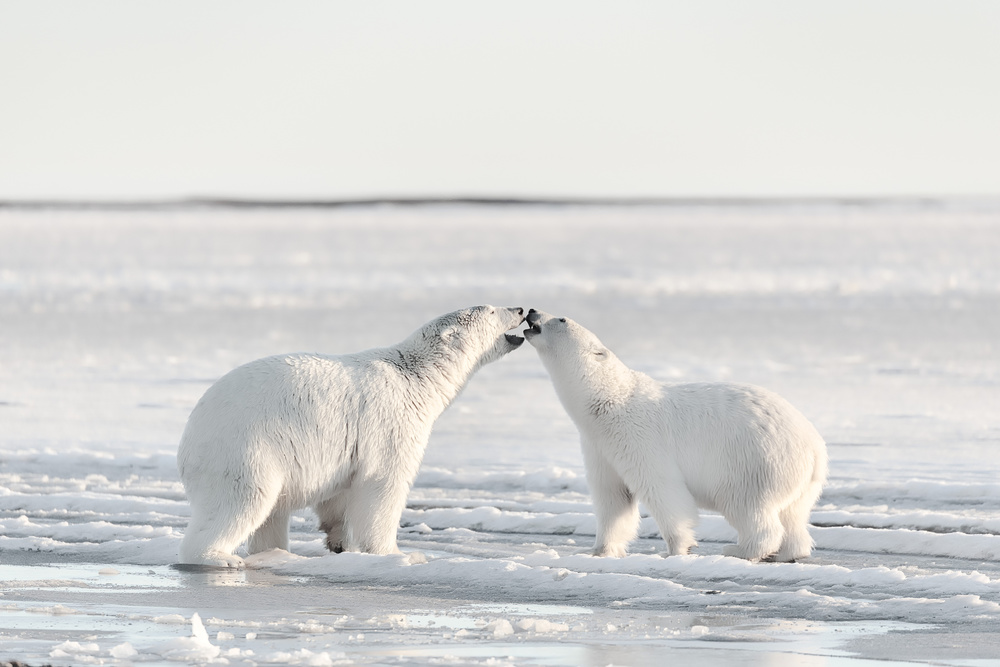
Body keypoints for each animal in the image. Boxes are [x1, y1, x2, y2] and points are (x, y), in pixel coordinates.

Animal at [177, 305, 526, 568]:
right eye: (491, 309)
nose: (521, 309)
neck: (416, 376)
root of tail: (188, 440)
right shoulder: (392, 421)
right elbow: (384, 485)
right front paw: (397, 553)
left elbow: (339, 495)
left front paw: (340, 542)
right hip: (246, 450)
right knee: (242, 501)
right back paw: (218, 556)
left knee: (271, 513)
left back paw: (275, 552)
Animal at [523, 309, 828, 562]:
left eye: (562, 318)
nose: (532, 311)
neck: (609, 402)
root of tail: (816, 448)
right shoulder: (599, 446)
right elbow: (612, 497)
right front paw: (600, 550)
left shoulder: (639, 438)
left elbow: (663, 491)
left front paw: (677, 549)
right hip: (800, 480)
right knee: (794, 515)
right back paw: (788, 552)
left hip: (756, 462)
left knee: (750, 507)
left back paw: (740, 550)